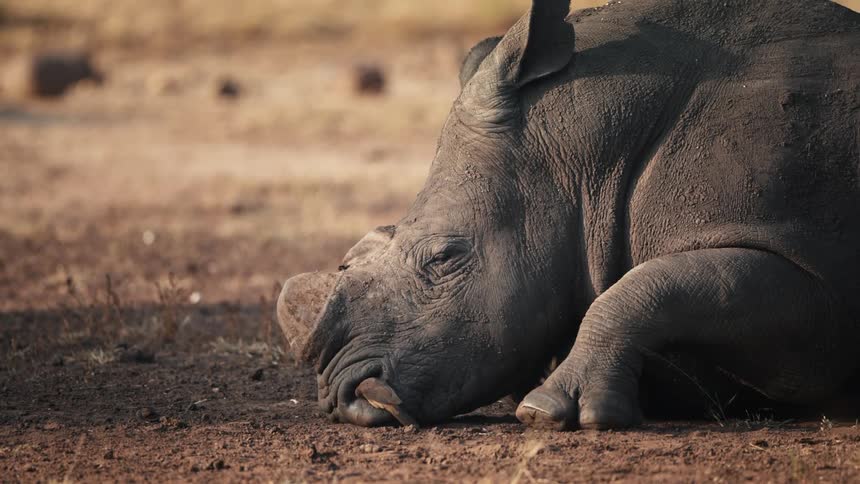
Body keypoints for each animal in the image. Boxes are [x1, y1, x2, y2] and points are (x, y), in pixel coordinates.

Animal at [278, 0, 860, 430]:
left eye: (443, 257)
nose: (347, 397)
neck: (585, 160)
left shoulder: (811, 276)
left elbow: (657, 286)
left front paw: (545, 413)